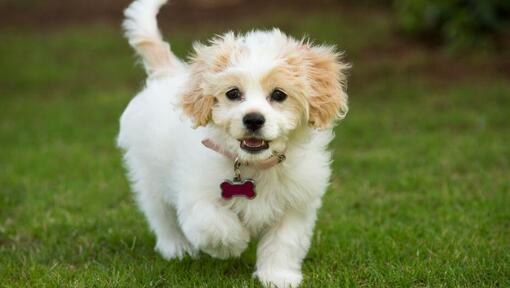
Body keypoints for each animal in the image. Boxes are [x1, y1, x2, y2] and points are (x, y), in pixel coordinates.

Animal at [117, 0, 348, 286]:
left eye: (279, 95)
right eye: (233, 93)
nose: (253, 119)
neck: (254, 165)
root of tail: (169, 74)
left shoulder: (296, 204)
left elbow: (284, 242)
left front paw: (278, 276)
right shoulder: (196, 194)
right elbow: (213, 224)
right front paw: (234, 244)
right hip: (149, 175)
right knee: (161, 215)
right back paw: (176, 248)